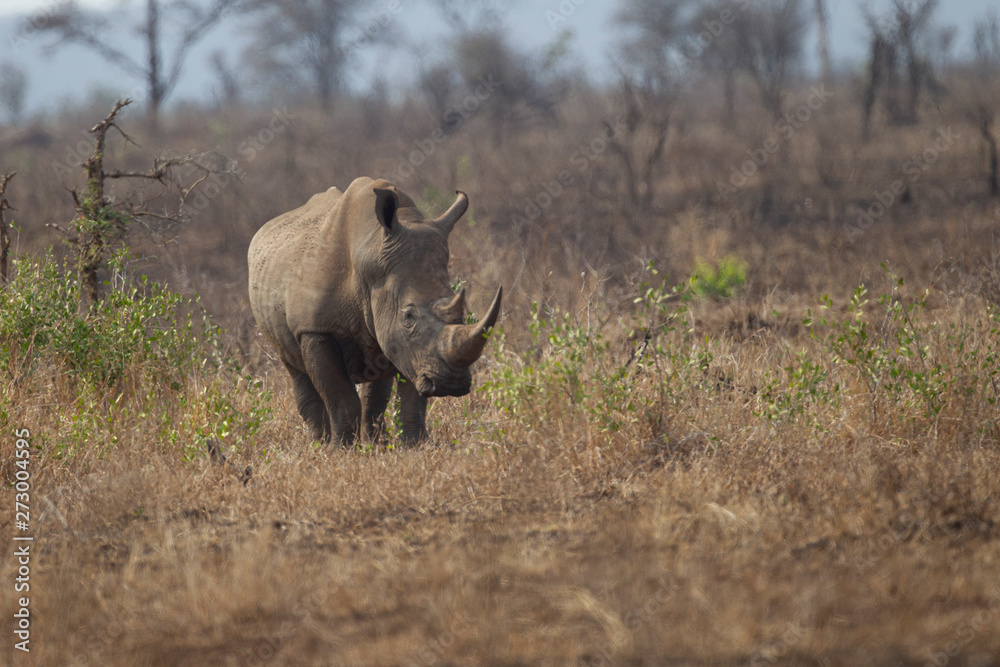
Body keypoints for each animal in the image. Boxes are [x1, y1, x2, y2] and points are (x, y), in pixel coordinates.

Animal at [248, 177, 502, 446]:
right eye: (408, 315)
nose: (452, 385)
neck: (370, 251)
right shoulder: (315, 330)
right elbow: (340, 397)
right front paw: (340, 450)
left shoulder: (411, 347)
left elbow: (412, 396)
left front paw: (416, 446)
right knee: (295, 368)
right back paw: (319, 444)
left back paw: (376, 444)